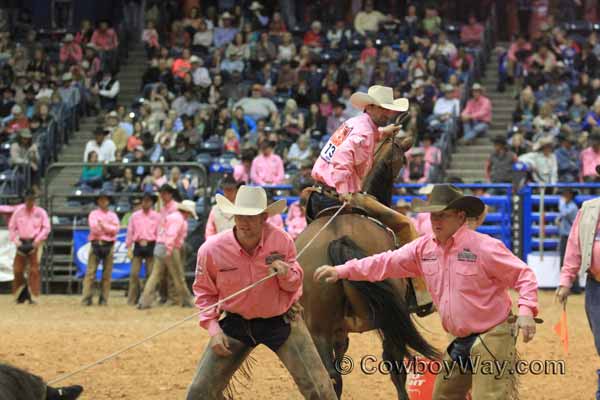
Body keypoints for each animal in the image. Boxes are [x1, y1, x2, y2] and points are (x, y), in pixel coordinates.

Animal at [298, 137, 438, 396]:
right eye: (402, 160)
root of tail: (339, 237)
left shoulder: (339, 329)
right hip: (387, 317)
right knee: (394, 365)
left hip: (318, 326)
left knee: (331, 376)